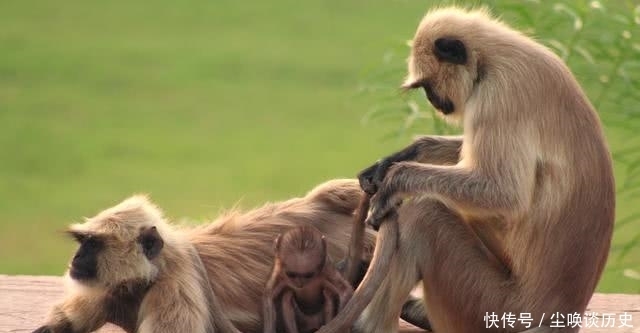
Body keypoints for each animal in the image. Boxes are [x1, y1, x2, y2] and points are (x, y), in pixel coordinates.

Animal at [318, 7, 616, 332]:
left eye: (427, 86)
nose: (432, 100)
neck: (492, 56)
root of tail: (561, 317)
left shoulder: (499, 93)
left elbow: (504, 193)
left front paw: (394, 182)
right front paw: (394, 161)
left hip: (493, 308)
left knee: (425, 214)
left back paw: (367, 324)